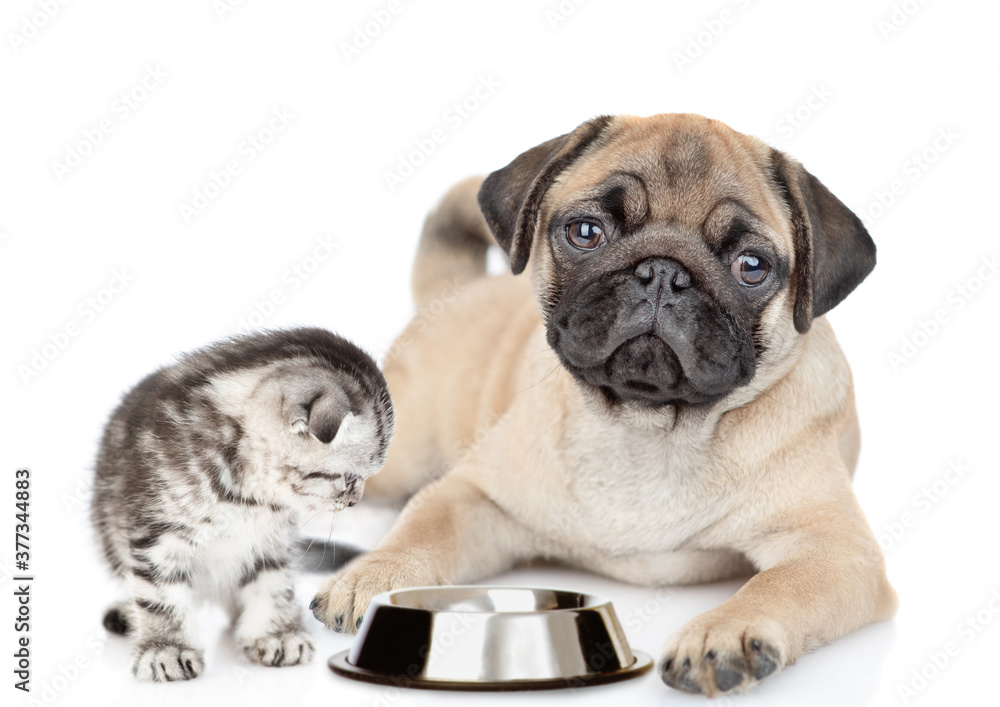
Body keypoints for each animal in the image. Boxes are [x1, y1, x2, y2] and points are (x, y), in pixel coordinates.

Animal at [92, 326, 392, 680]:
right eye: (349, 477)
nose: (355, 502)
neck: (247, 494)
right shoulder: (156, 533)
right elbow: (159, 595)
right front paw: (164, 648)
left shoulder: (273, 540)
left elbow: (273, 583)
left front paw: (276, 634)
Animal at [312, 115, 900, 696]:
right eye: (587, 233)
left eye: (751, 266)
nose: (663, 273)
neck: (650, 429)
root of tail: (457, 290)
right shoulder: (477, 499)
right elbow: (423, 526)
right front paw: (377, 573)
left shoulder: (833, 550)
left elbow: (777, 586)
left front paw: (723, 631)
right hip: (397, 458)